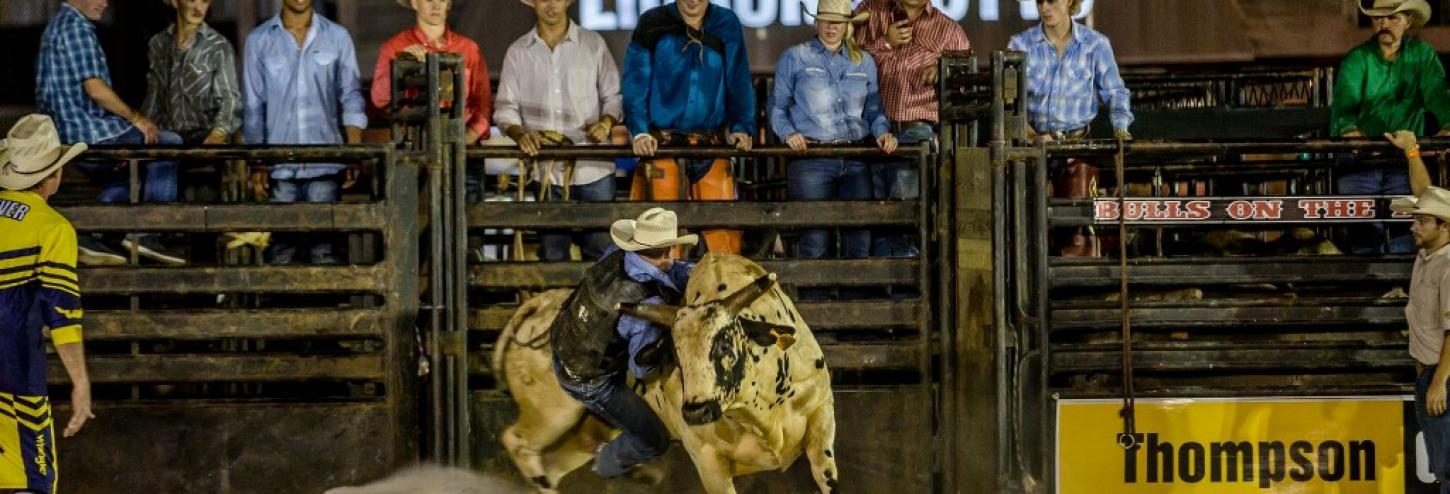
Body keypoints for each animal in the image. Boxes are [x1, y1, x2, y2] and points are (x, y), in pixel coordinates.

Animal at [495, 253, 846, 492]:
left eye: (725, 344)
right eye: (675, 356)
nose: (696, 411)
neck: (759, 411)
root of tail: (539, 306)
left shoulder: (822, 413)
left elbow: (824, 473)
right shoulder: (707, 459)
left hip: (590, 426)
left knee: (560, 461)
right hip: (553, 412)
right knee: (517, 441)